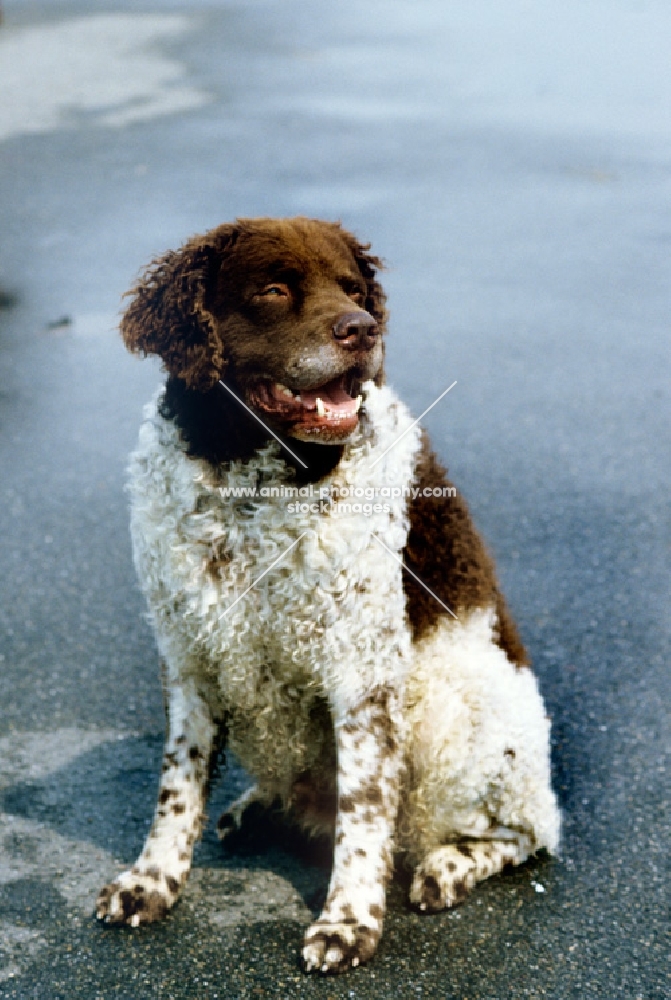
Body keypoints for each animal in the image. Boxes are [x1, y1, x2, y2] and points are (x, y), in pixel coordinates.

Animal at [96, 215, 560, 972]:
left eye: (354, 290)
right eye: (275, 290)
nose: (362, 330)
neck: (250, 486)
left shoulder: (363, 671)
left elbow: (365, 812)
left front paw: (348, 921)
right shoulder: (190, 654)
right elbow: (177, 786)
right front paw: (151, 879)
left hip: (451, 712)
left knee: (524, 834)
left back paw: (449, 866)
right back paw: (259, 808)